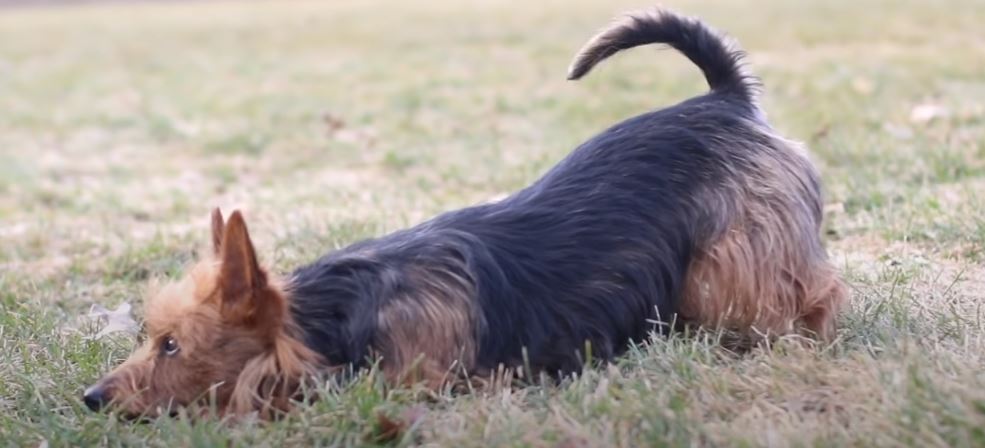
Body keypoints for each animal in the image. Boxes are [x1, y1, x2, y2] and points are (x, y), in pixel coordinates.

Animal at [84, 7, 844, 420]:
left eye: (170, 345)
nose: (92, 397)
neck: (330, 317)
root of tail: (723, 101)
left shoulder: (433, 382)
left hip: (735, 266)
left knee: (804, 296)